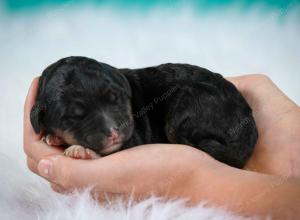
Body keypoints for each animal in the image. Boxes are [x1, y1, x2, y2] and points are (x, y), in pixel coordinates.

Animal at [31, 55, 258, 168]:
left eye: (116, 99)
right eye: (74, 116)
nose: (113, 132)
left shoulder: (134, 135)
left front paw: (81, 151)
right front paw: (55, 137)